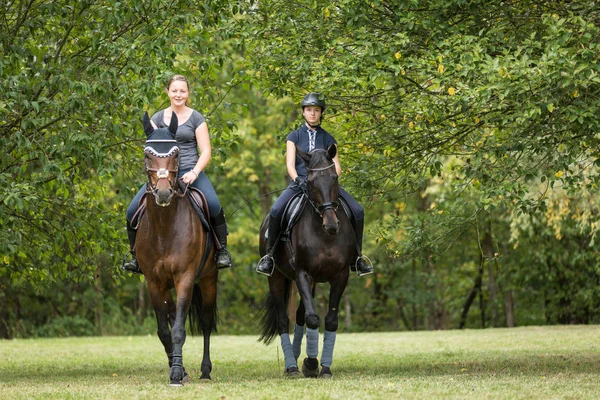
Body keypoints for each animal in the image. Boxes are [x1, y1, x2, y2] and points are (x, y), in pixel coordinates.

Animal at [135, 111, 218, 386]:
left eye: (176, 153)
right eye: (147, 154)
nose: (162, 193)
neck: (164, 228)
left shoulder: (185, 278)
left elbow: (179, 330)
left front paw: (176, 374)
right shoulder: (154, 282)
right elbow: (165, 330)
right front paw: (178, 368)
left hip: (209, 278)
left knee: (206, 323)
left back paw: (205, 369)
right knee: (172, 318)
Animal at [255, 145, 354, 378]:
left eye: (335, 177)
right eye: (309, 182)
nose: (332, 225)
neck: (324, 234)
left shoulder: (340, 275)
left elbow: (330, 320)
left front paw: (323, 367)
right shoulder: (302, 273)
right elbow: (312, 318)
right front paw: (311, 362)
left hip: (313, 282)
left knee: (300, 315)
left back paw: (296, 355)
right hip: (277, 277)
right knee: (284, 320)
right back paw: (291, 365)